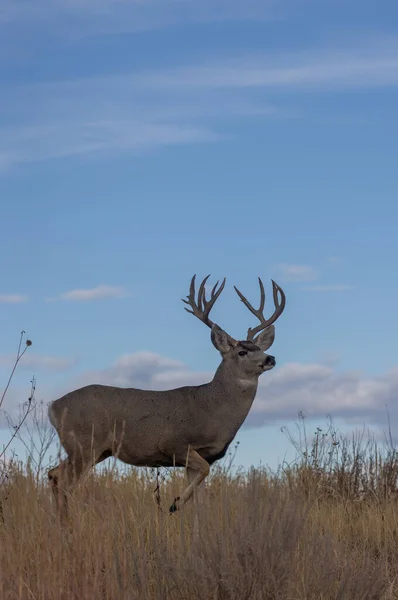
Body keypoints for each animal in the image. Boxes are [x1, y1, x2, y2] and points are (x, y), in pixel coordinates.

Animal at [48, 276, 286, 516]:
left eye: (259, 348)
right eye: (242, 352)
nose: (270, 358)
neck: (211, 409)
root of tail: (53, 407)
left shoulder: (201, 457)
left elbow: (200, 501)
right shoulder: (175, 444)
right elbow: (204, 472)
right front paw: (175, 503)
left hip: (95, 450)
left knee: (53, 474)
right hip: (85, 444)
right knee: (65, 483)